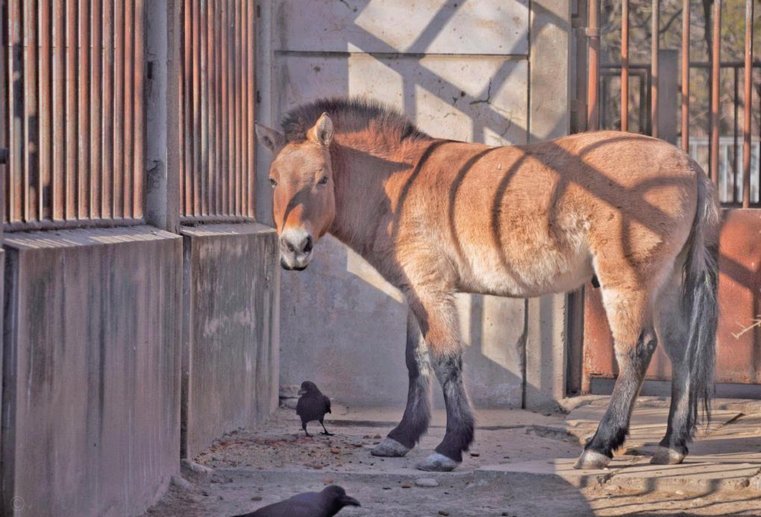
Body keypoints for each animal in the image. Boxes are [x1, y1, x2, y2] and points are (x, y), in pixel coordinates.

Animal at [255, 97, 720, 472]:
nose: (295, 247)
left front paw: (449, 447)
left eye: (322, 179)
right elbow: (416, 362)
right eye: (273, 180)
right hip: (666, 284)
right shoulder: (415, 291)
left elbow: (445, 361)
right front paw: (401, 438)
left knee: (637, 350)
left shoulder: (430, 288)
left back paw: (599, 447)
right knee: (681, 350)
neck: (398, 185)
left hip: (626, 281)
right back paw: (671, 445)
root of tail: (691, 167)